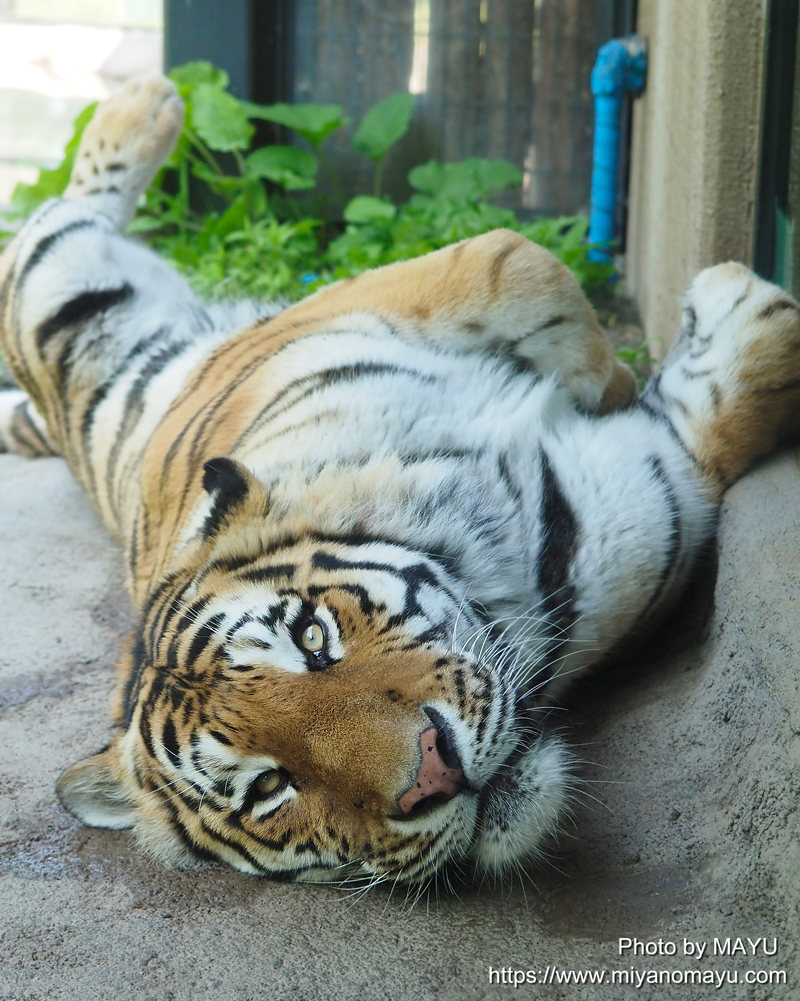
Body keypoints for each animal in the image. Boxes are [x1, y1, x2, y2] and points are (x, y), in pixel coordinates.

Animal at [0, 74, 796, 884]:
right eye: (266, 786)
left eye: (312, 636)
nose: (433, 772)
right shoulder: (647, 498)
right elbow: (746, 384)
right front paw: (730, 312)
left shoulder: (374, 304)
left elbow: (526, 267)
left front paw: (662, 338)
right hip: (50, 290)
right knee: (52, 214)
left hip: (72, 284)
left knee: (74, 201)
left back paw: (145, 100)